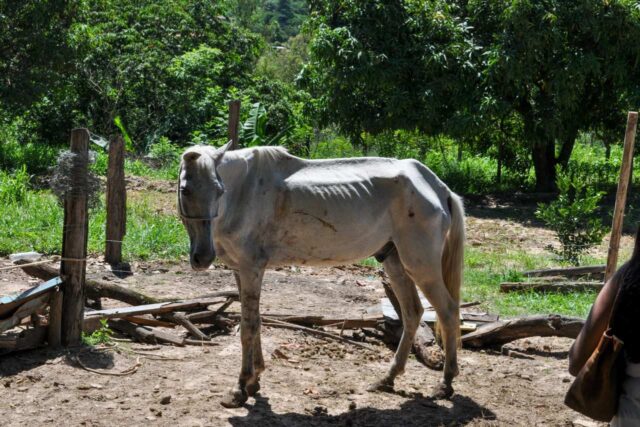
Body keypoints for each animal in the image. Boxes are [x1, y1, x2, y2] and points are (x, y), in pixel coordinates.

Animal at [178, 141, 465, 408]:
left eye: (219, 190)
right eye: (185, 190)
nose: (203, 257)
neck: (243, 192)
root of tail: (439, 188)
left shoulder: (251, 269)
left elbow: (248, 327)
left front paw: (239, 388)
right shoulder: (241, 271)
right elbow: (256, 321)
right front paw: (254, 381)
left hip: (421, 267)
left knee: (448, 312)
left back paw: (446, 383)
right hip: (395, 262)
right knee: (413, 313)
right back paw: (388, 379)